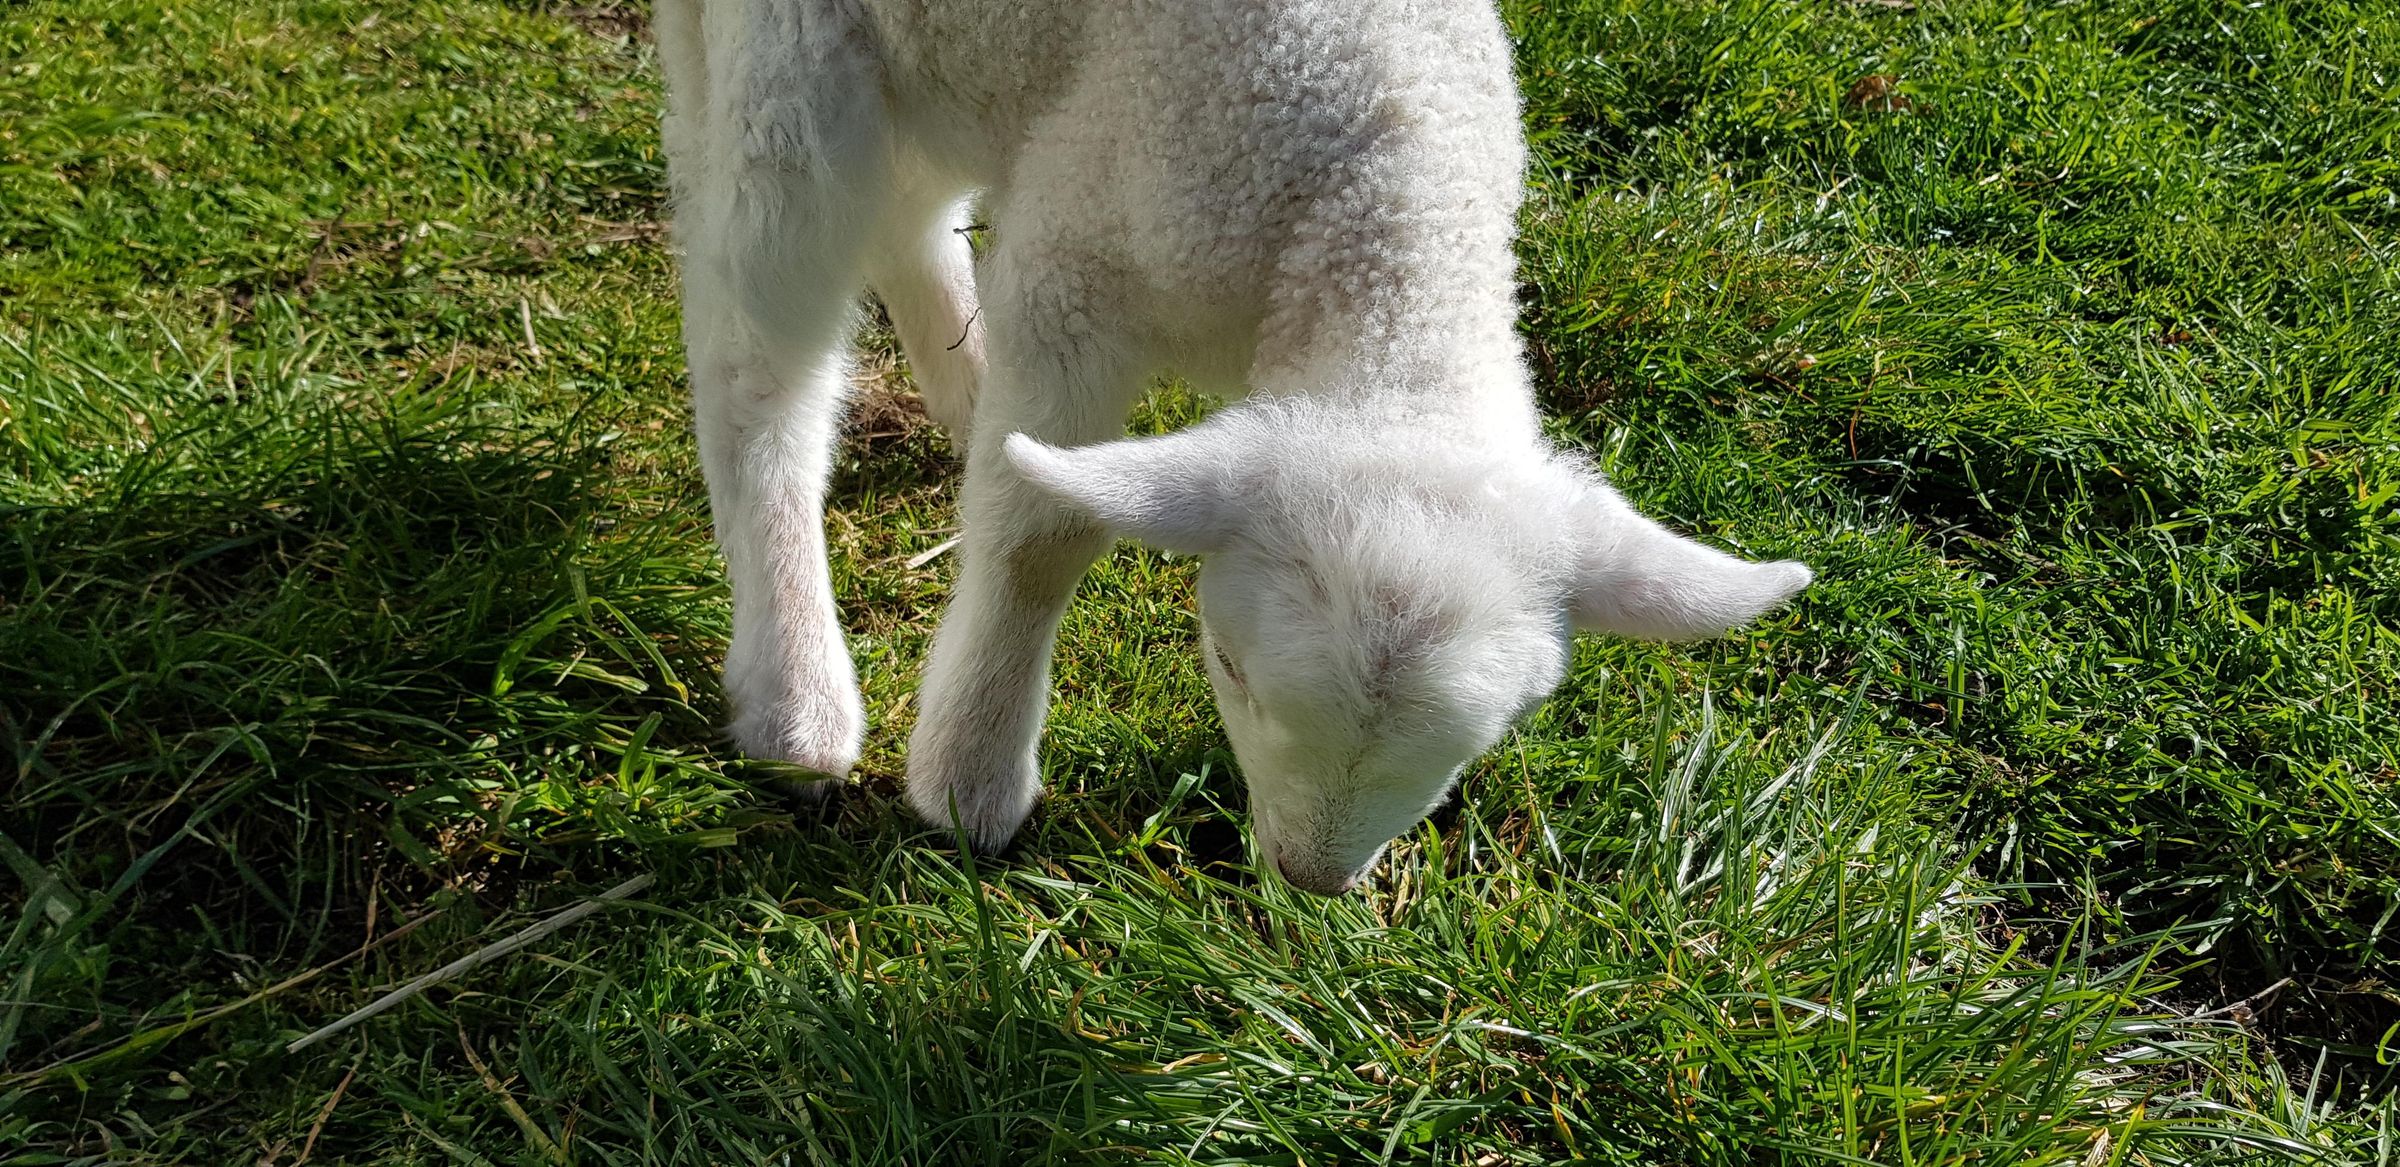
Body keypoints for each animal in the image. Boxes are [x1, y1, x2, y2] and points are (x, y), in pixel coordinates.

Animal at [654, 0, 1812, 894]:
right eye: (1229, 668)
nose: (1311, 877)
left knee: (903, 213)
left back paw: (970, 392)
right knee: (757, 357)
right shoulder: (1079, 265)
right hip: (793, 61)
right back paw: (796, 695)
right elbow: (1040, 539)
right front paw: (971, 777)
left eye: (1498, 732)